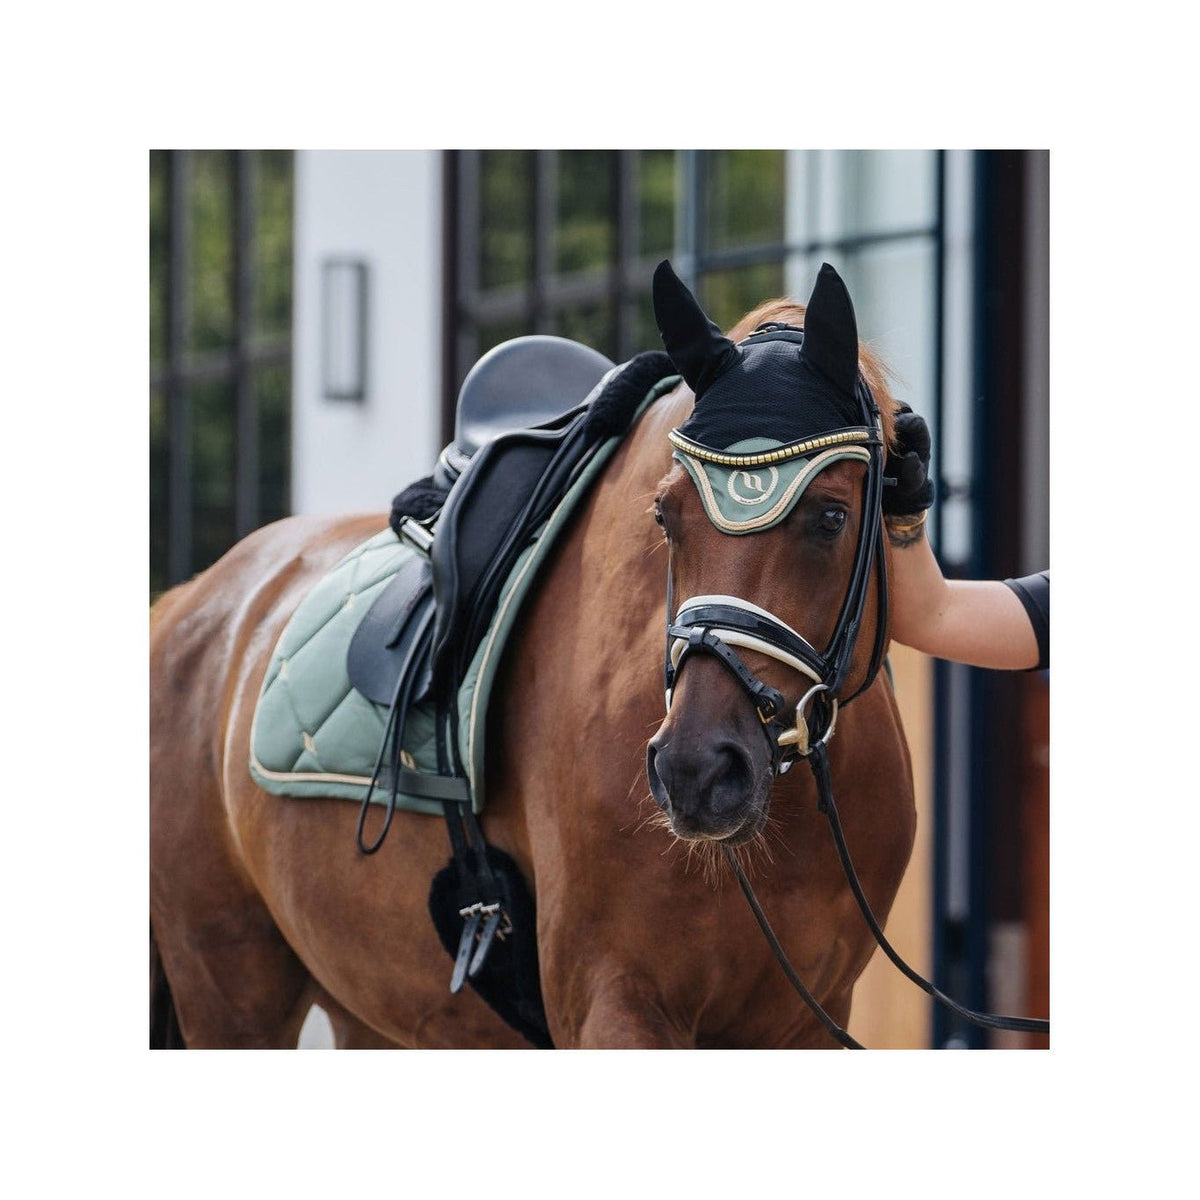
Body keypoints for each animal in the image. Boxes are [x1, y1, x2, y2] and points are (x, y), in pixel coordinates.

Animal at [149, 263, 916, 1049]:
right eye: (665, 514)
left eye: (831, 517)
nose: (698, 771)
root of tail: (190, 602)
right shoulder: (611, 1003)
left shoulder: (810, 1020)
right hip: (227, 986)